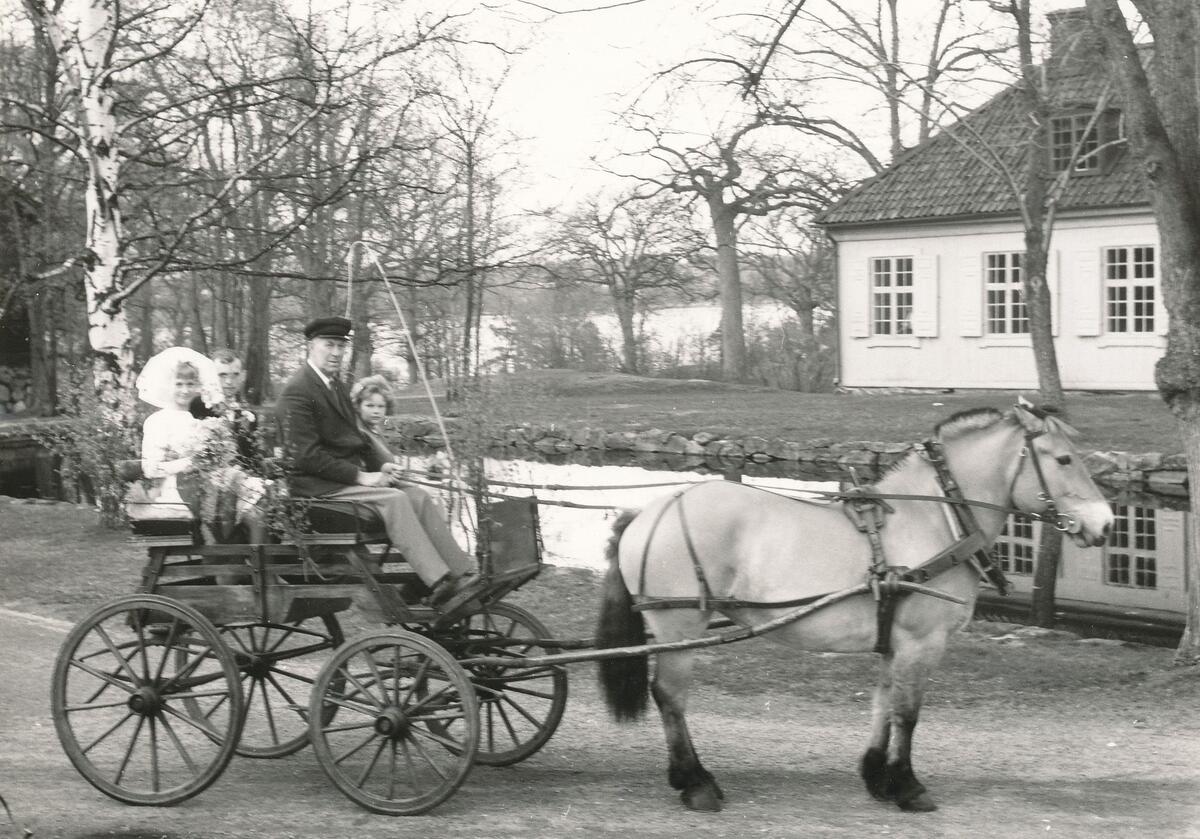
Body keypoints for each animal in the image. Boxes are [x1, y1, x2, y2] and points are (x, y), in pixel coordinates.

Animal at [595, 403, 1108, 811]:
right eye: (1064, 459)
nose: (1105, 524)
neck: (934, 518)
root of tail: (650, 511)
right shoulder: (921, 642)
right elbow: (908, 713)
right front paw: (907, 786)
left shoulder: (894, 641)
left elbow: (883, 703)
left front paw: (877, 776)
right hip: (678, 624)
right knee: (671, 697)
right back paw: (695, 782)